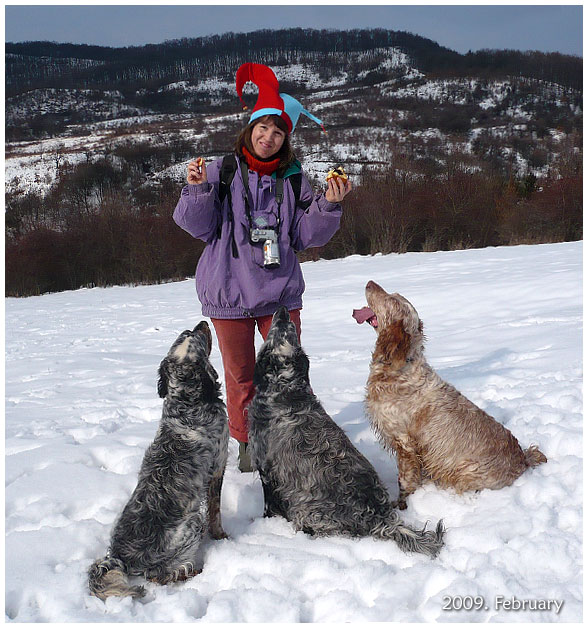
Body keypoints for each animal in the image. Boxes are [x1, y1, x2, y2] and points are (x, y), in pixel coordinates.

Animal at [88, 322, 229, 600]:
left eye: (186, 334)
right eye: (195, 336)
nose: (201, 323)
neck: (187, 403)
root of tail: (120, 557)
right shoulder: (219, 465)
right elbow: (216, 511)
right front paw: (221, 536)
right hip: (192, 523)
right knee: (160, 575)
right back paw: (193, 572)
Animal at [248, 306, 446, 556]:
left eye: (283, 330)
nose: (283, 310)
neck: (286, 390)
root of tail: (380, 517)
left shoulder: (267, 470)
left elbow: (269, 503)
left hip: (308, 510)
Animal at [354, 282, 548, 508]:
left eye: (391, 300)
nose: (369, 283)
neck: (399, 367)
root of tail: (524, 462)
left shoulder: (404, 443)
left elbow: (405, 481)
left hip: (465, 470)